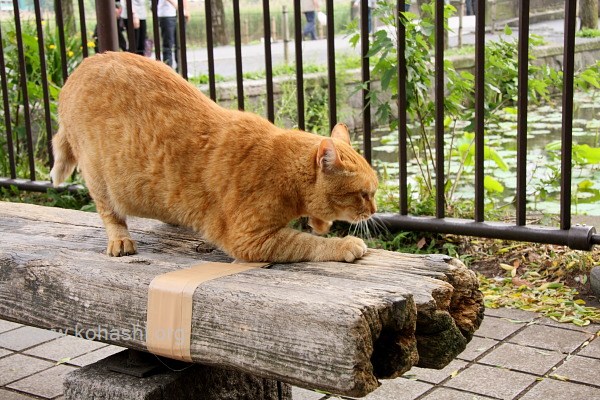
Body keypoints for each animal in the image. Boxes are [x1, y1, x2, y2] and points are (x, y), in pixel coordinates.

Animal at [52, 52, 380, 262]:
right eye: (364, 194)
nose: (374, 210)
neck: (282, 171)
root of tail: (79, 70)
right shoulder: (251, 240)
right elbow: (307, 244)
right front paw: (344, 245)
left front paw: (321, 224)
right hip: (100, 181)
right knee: (110, 213)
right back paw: (120, 240)